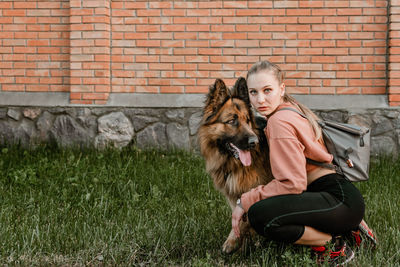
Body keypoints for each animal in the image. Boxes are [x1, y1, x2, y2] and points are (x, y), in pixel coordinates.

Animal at [198, 78, 274, 255]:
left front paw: (234, 244)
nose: (254, 142)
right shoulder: (234, 194)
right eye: (232, 121)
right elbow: (238, 217)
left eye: (247, 120)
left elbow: (243, 220)